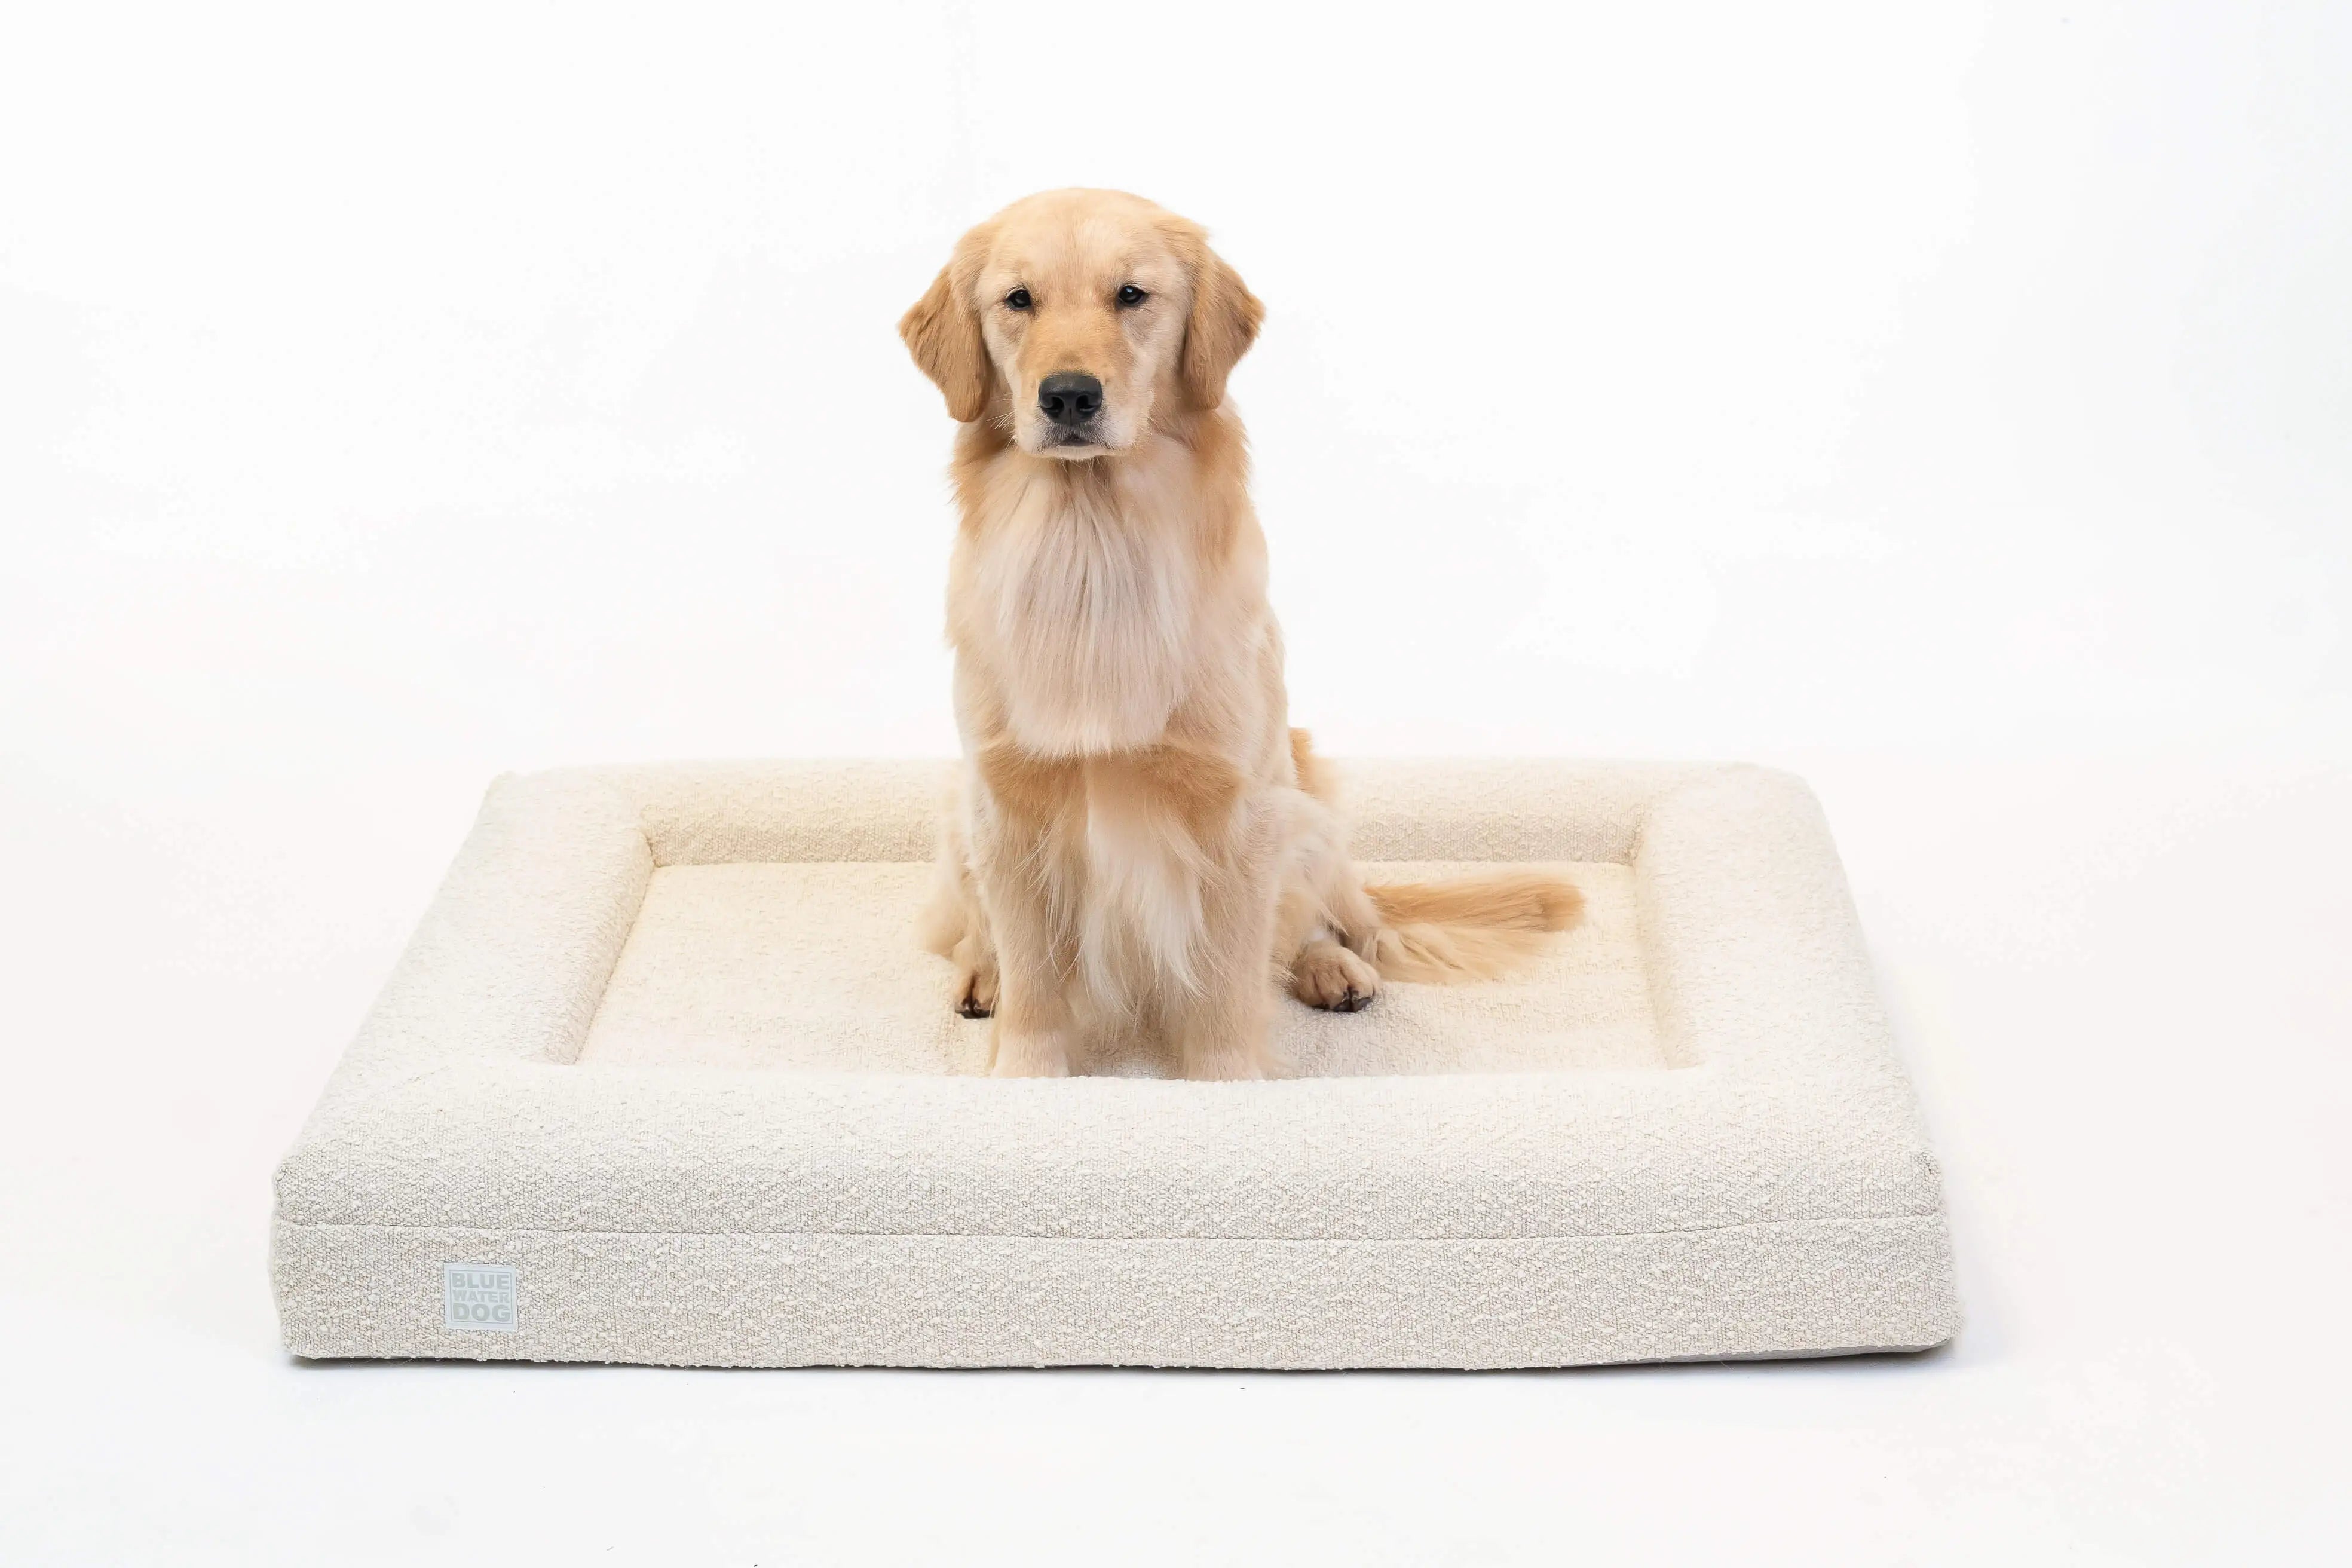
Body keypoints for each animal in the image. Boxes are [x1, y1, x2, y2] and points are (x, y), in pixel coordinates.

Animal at [898, 190, 1580, 1081]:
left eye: (1132, 295)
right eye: (1018, 300)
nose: (1069, 396)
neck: (1093, 551)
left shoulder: (1236, 807)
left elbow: (1225, 977)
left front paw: (1227, 1085)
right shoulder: (1009, 799)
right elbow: (1036, 977)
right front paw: (1026, 1074)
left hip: (1305, 800)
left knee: (1314, 921)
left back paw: (1333, 966)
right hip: (958, 811)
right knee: (974, 932)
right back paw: (982, 975)